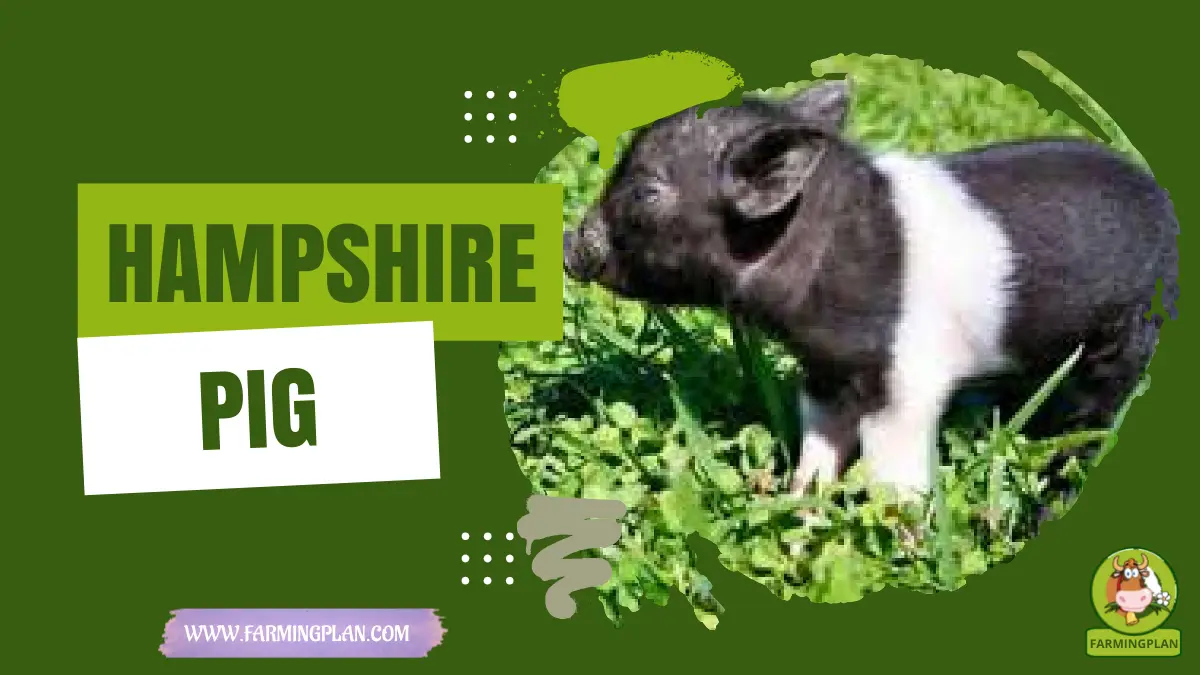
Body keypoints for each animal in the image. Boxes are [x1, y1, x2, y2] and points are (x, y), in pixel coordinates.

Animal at [561, 79, 1180, 515]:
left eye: (646, 193)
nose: (570, 242)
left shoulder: (907, 379)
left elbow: (892, 467)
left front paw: (902, 537)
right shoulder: (826, 373)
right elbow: (820, 442)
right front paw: (797, 506)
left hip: (1129, 333)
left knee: (1094, 413)